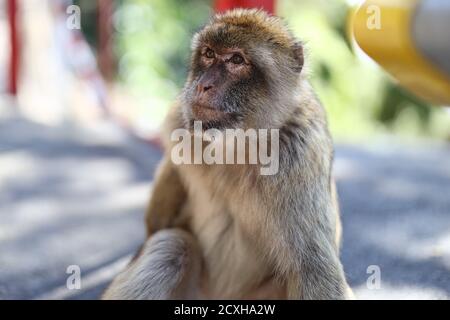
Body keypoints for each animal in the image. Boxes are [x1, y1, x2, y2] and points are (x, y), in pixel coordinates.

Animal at [103, 9, 354, 300]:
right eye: (209, 53)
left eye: (236, 60)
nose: (203, 85)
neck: (238, 142)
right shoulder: (180, 121)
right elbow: (160, 220)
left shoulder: (299, 154)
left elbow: (313, 269)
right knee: (173, 245)